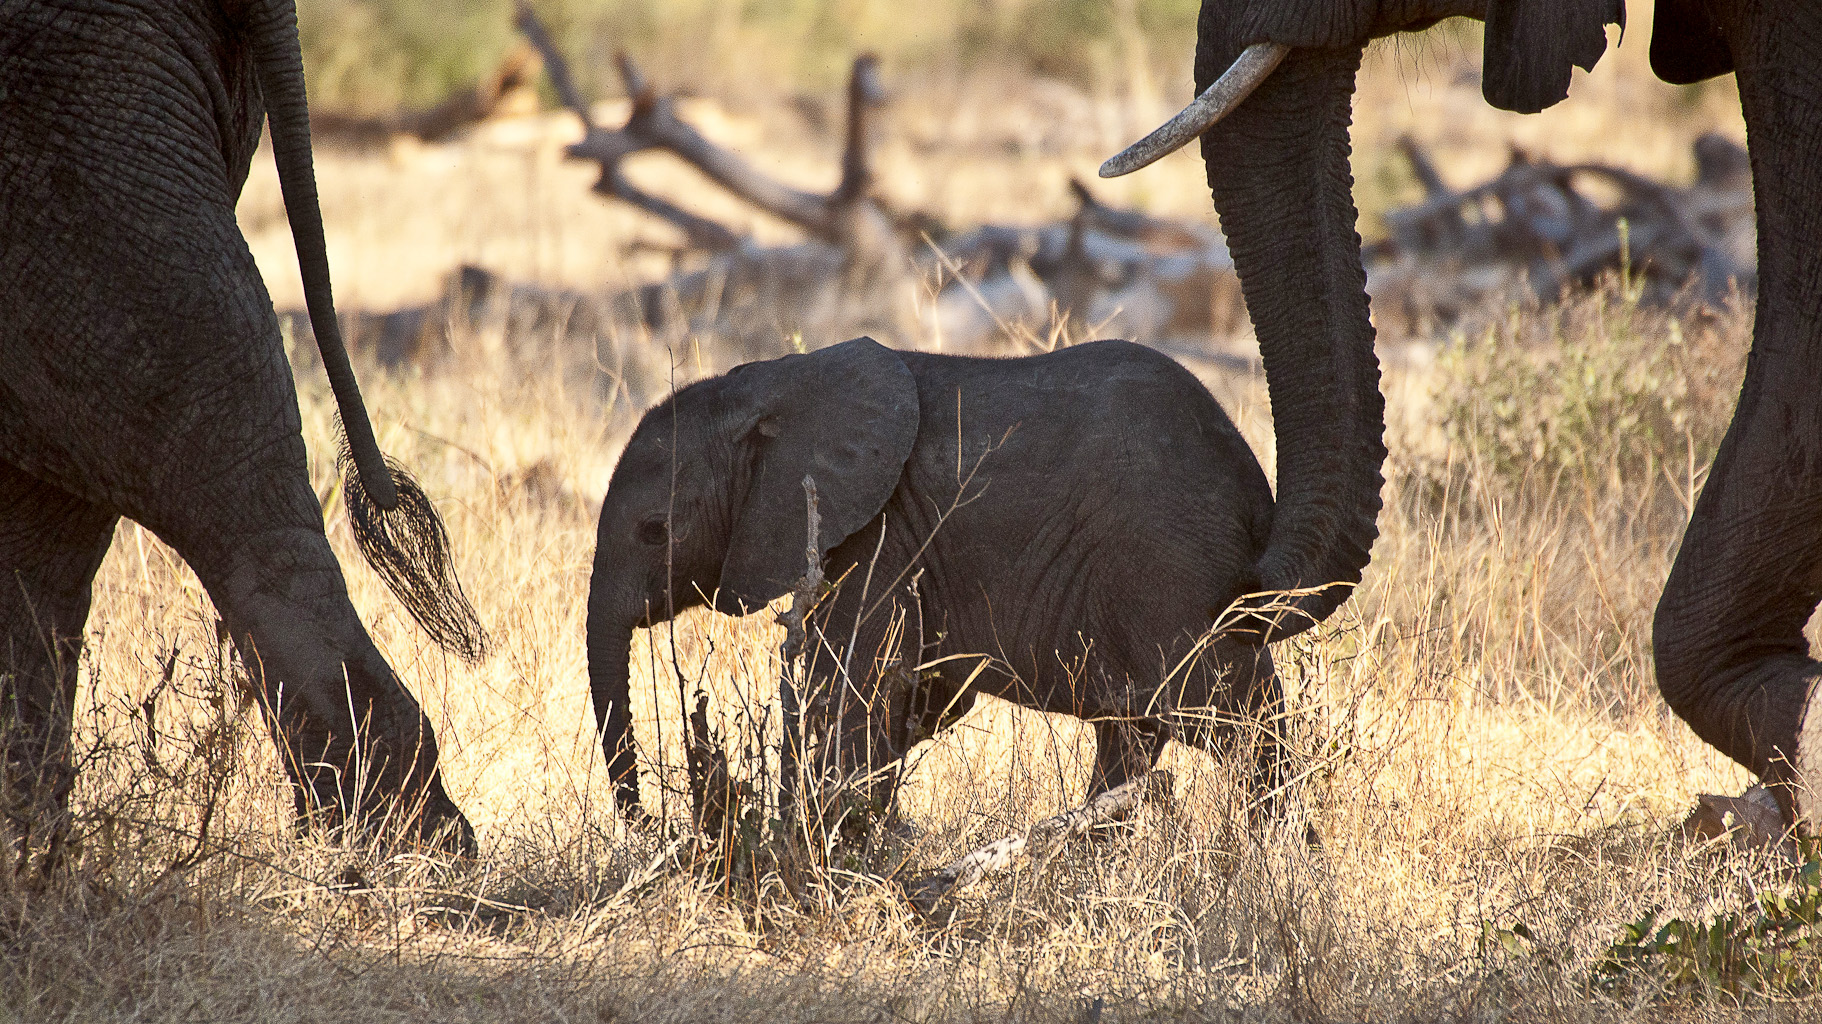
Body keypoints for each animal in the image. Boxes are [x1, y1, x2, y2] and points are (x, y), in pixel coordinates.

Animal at [590, 335, 1275, 812]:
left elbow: (851, 691)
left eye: (655, 530)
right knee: (1142, 734)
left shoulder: (880, 534)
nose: (646, 820)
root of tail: (1252, 480)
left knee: (1232, 718)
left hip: (1169, 570)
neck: (767, 388)